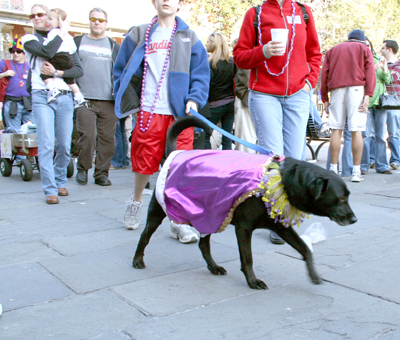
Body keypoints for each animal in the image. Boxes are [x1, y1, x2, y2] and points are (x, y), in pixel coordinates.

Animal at [134, 116, 356, 290]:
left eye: (348, 196)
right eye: (341, 198)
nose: (354, 219)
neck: (283, 180)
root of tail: (176, 153)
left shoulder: (281, 227)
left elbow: (305, 249)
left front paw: (313, 274)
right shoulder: (244, 228)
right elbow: (247, 258)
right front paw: (253, 281)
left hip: (210, 216)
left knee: (204, 244)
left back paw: (213, 267)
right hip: (158, 211)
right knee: (145, 236)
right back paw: (137, 260)